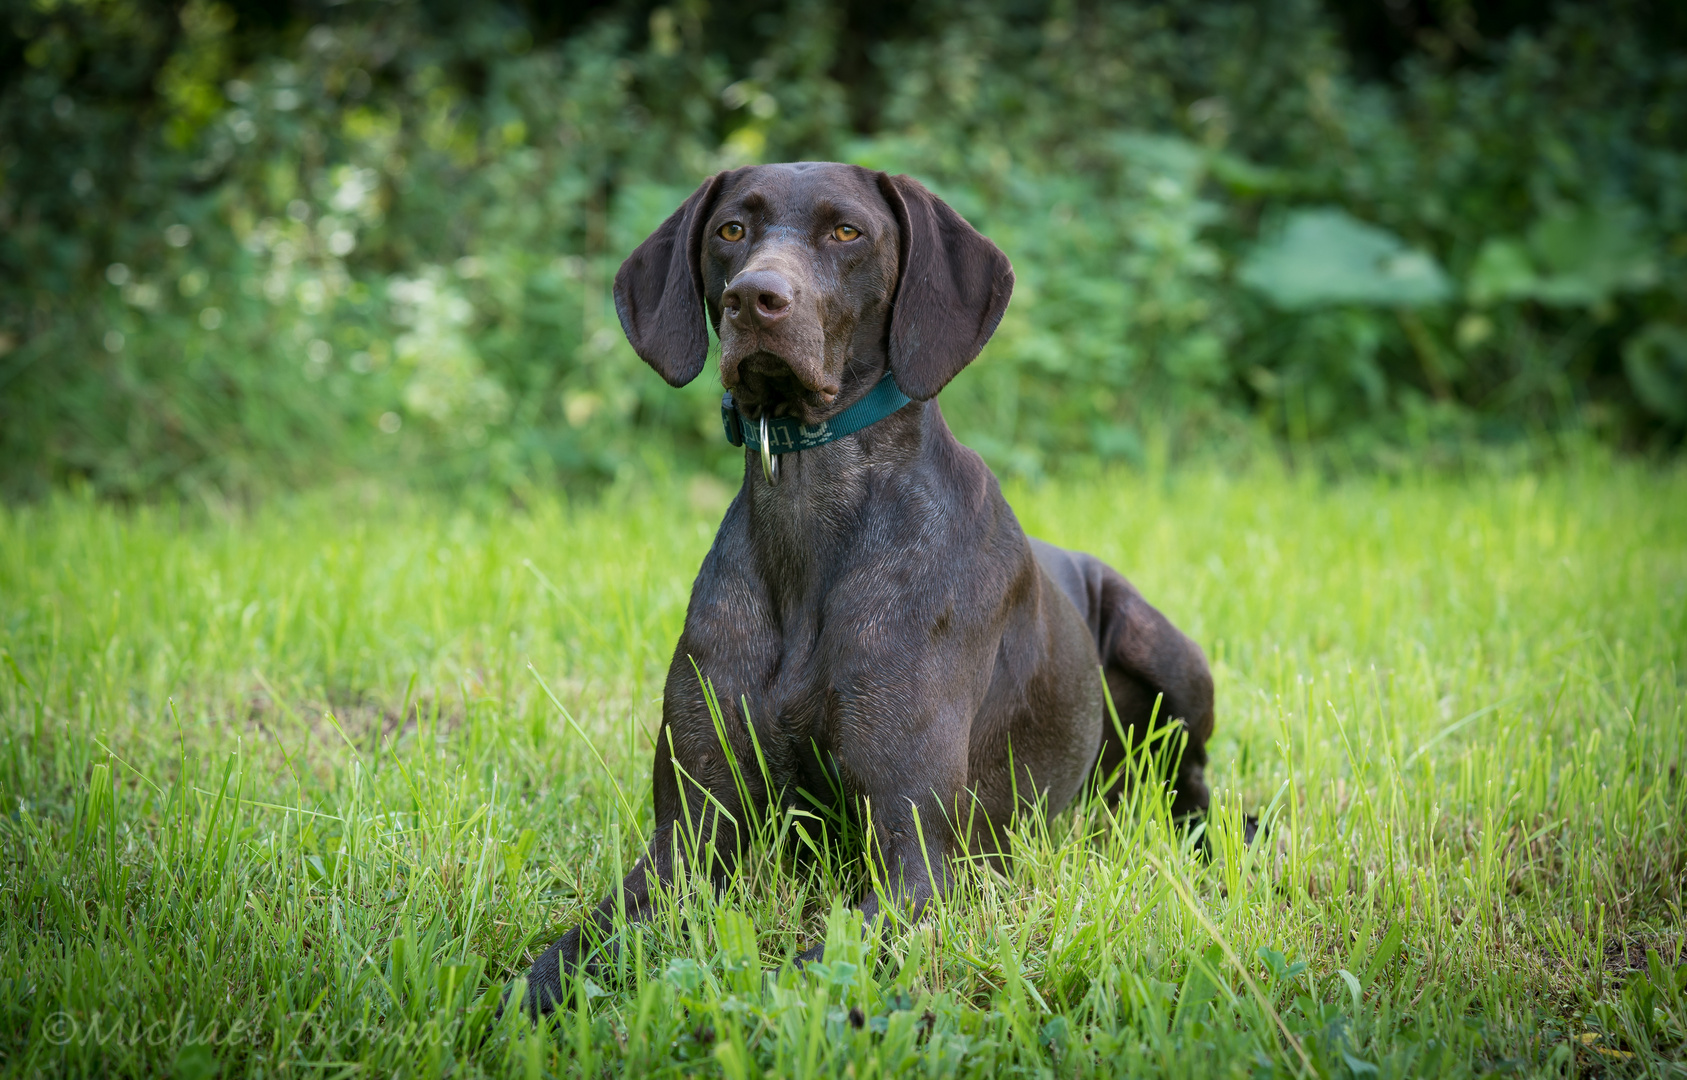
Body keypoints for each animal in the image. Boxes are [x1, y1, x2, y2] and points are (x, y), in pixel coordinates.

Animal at [516, 160, 1214, 1012]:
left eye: (846, 231)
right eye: (730, 230)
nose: (754, 297)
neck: (812, 519)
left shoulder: (916, 864)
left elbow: (799, 982)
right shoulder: (685, 841)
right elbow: (568, 952)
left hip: (1168, 655)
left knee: (1194, 784)